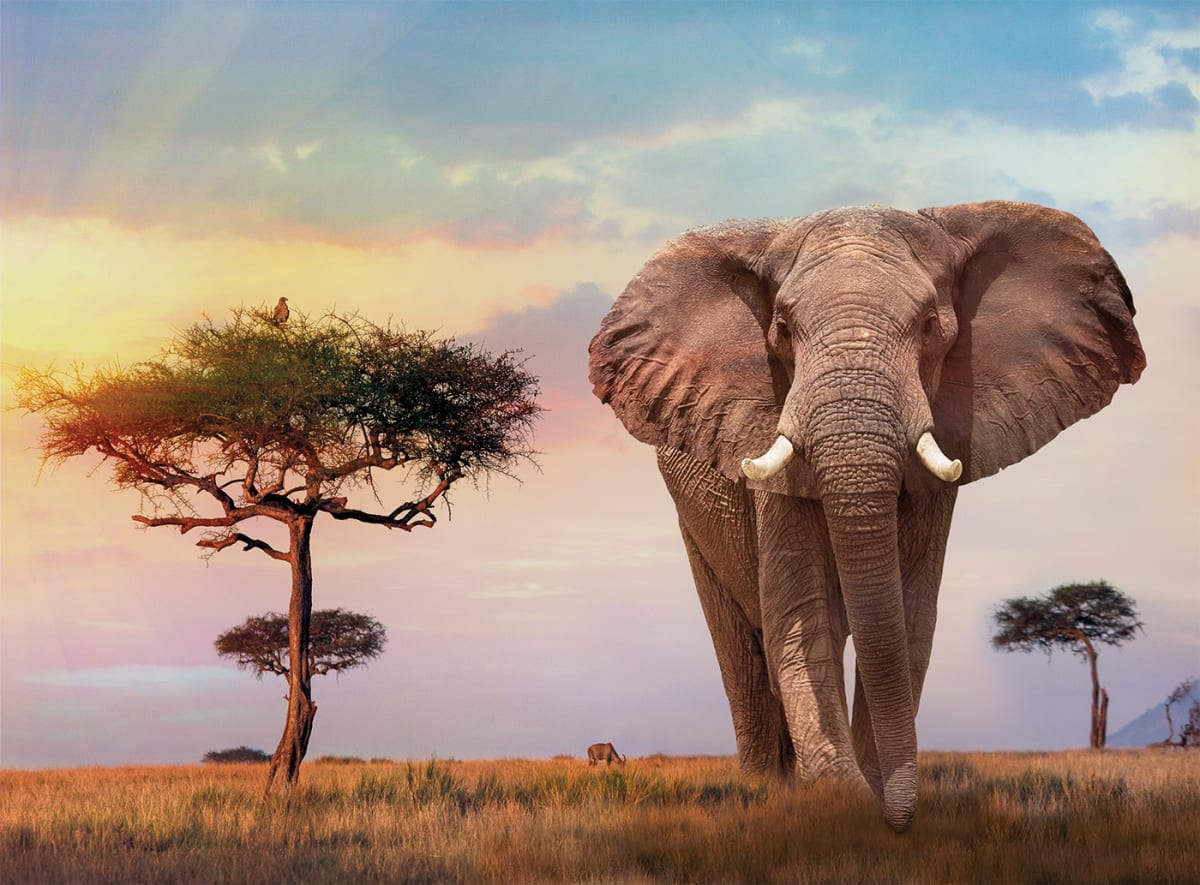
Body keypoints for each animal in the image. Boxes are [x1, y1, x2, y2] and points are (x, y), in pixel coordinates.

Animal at [588, 201, 1145, 831]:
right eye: (782, 329)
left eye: (930, 326)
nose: (897, 820)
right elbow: (805, 616)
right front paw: (842, 801)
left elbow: (908, 618)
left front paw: (870, 796)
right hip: (693, 520)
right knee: (743, 648)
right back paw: (766, 791)